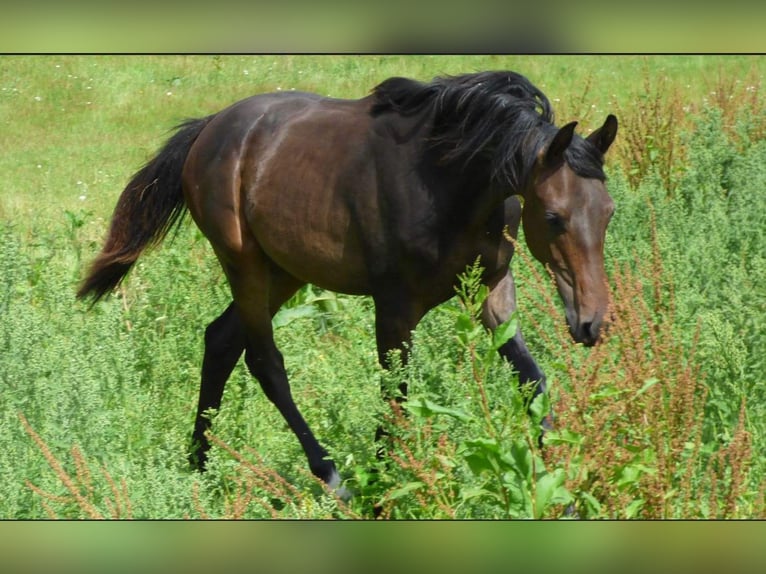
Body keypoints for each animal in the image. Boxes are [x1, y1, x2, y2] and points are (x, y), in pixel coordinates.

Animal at [78, 71, 616, 496]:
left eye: (608, 211)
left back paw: (200, 465)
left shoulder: (493, 291)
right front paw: (387, 489)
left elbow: (532, 381)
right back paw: (334, 479)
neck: (449, 185)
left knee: (221, 340)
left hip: (284, 270)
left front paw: (559, 490)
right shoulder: (395, 307)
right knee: (264, 360)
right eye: (554, 217)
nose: (592, 322)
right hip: (244, 264)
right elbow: (395, 398)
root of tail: (208, 129)